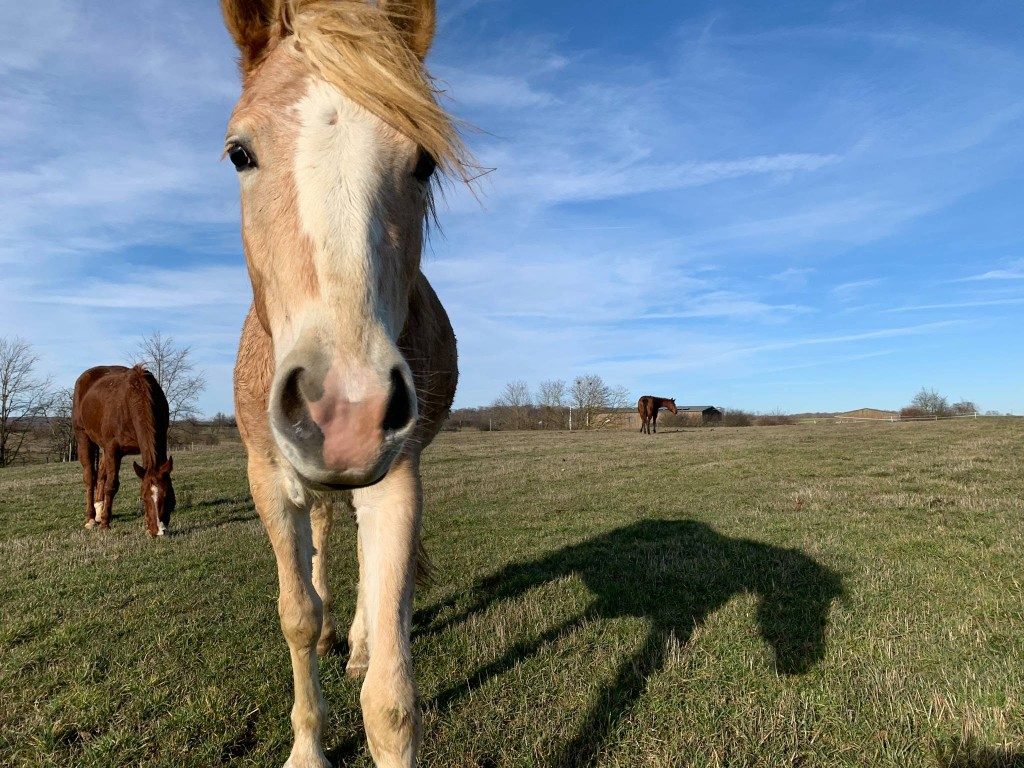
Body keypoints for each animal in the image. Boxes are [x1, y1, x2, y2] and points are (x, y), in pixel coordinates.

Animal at [72, 365, 175, 537]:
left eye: (167, 495)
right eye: (143, 497)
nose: (158, 531)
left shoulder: (160, 440)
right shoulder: (113, 449)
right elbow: (112, 485)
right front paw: (105, 524)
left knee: (101, 475)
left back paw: (98, 510)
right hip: (83, 437)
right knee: (90, 478)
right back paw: (91, 518)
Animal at [221, 1, 468, 765]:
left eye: (423, 161)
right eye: (239, 153)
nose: (346, 413)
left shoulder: (396, 477)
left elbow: (390, 701)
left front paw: (368, 659)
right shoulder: (268, 478)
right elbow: (297, 615)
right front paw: (307, 746)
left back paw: (357, 641)